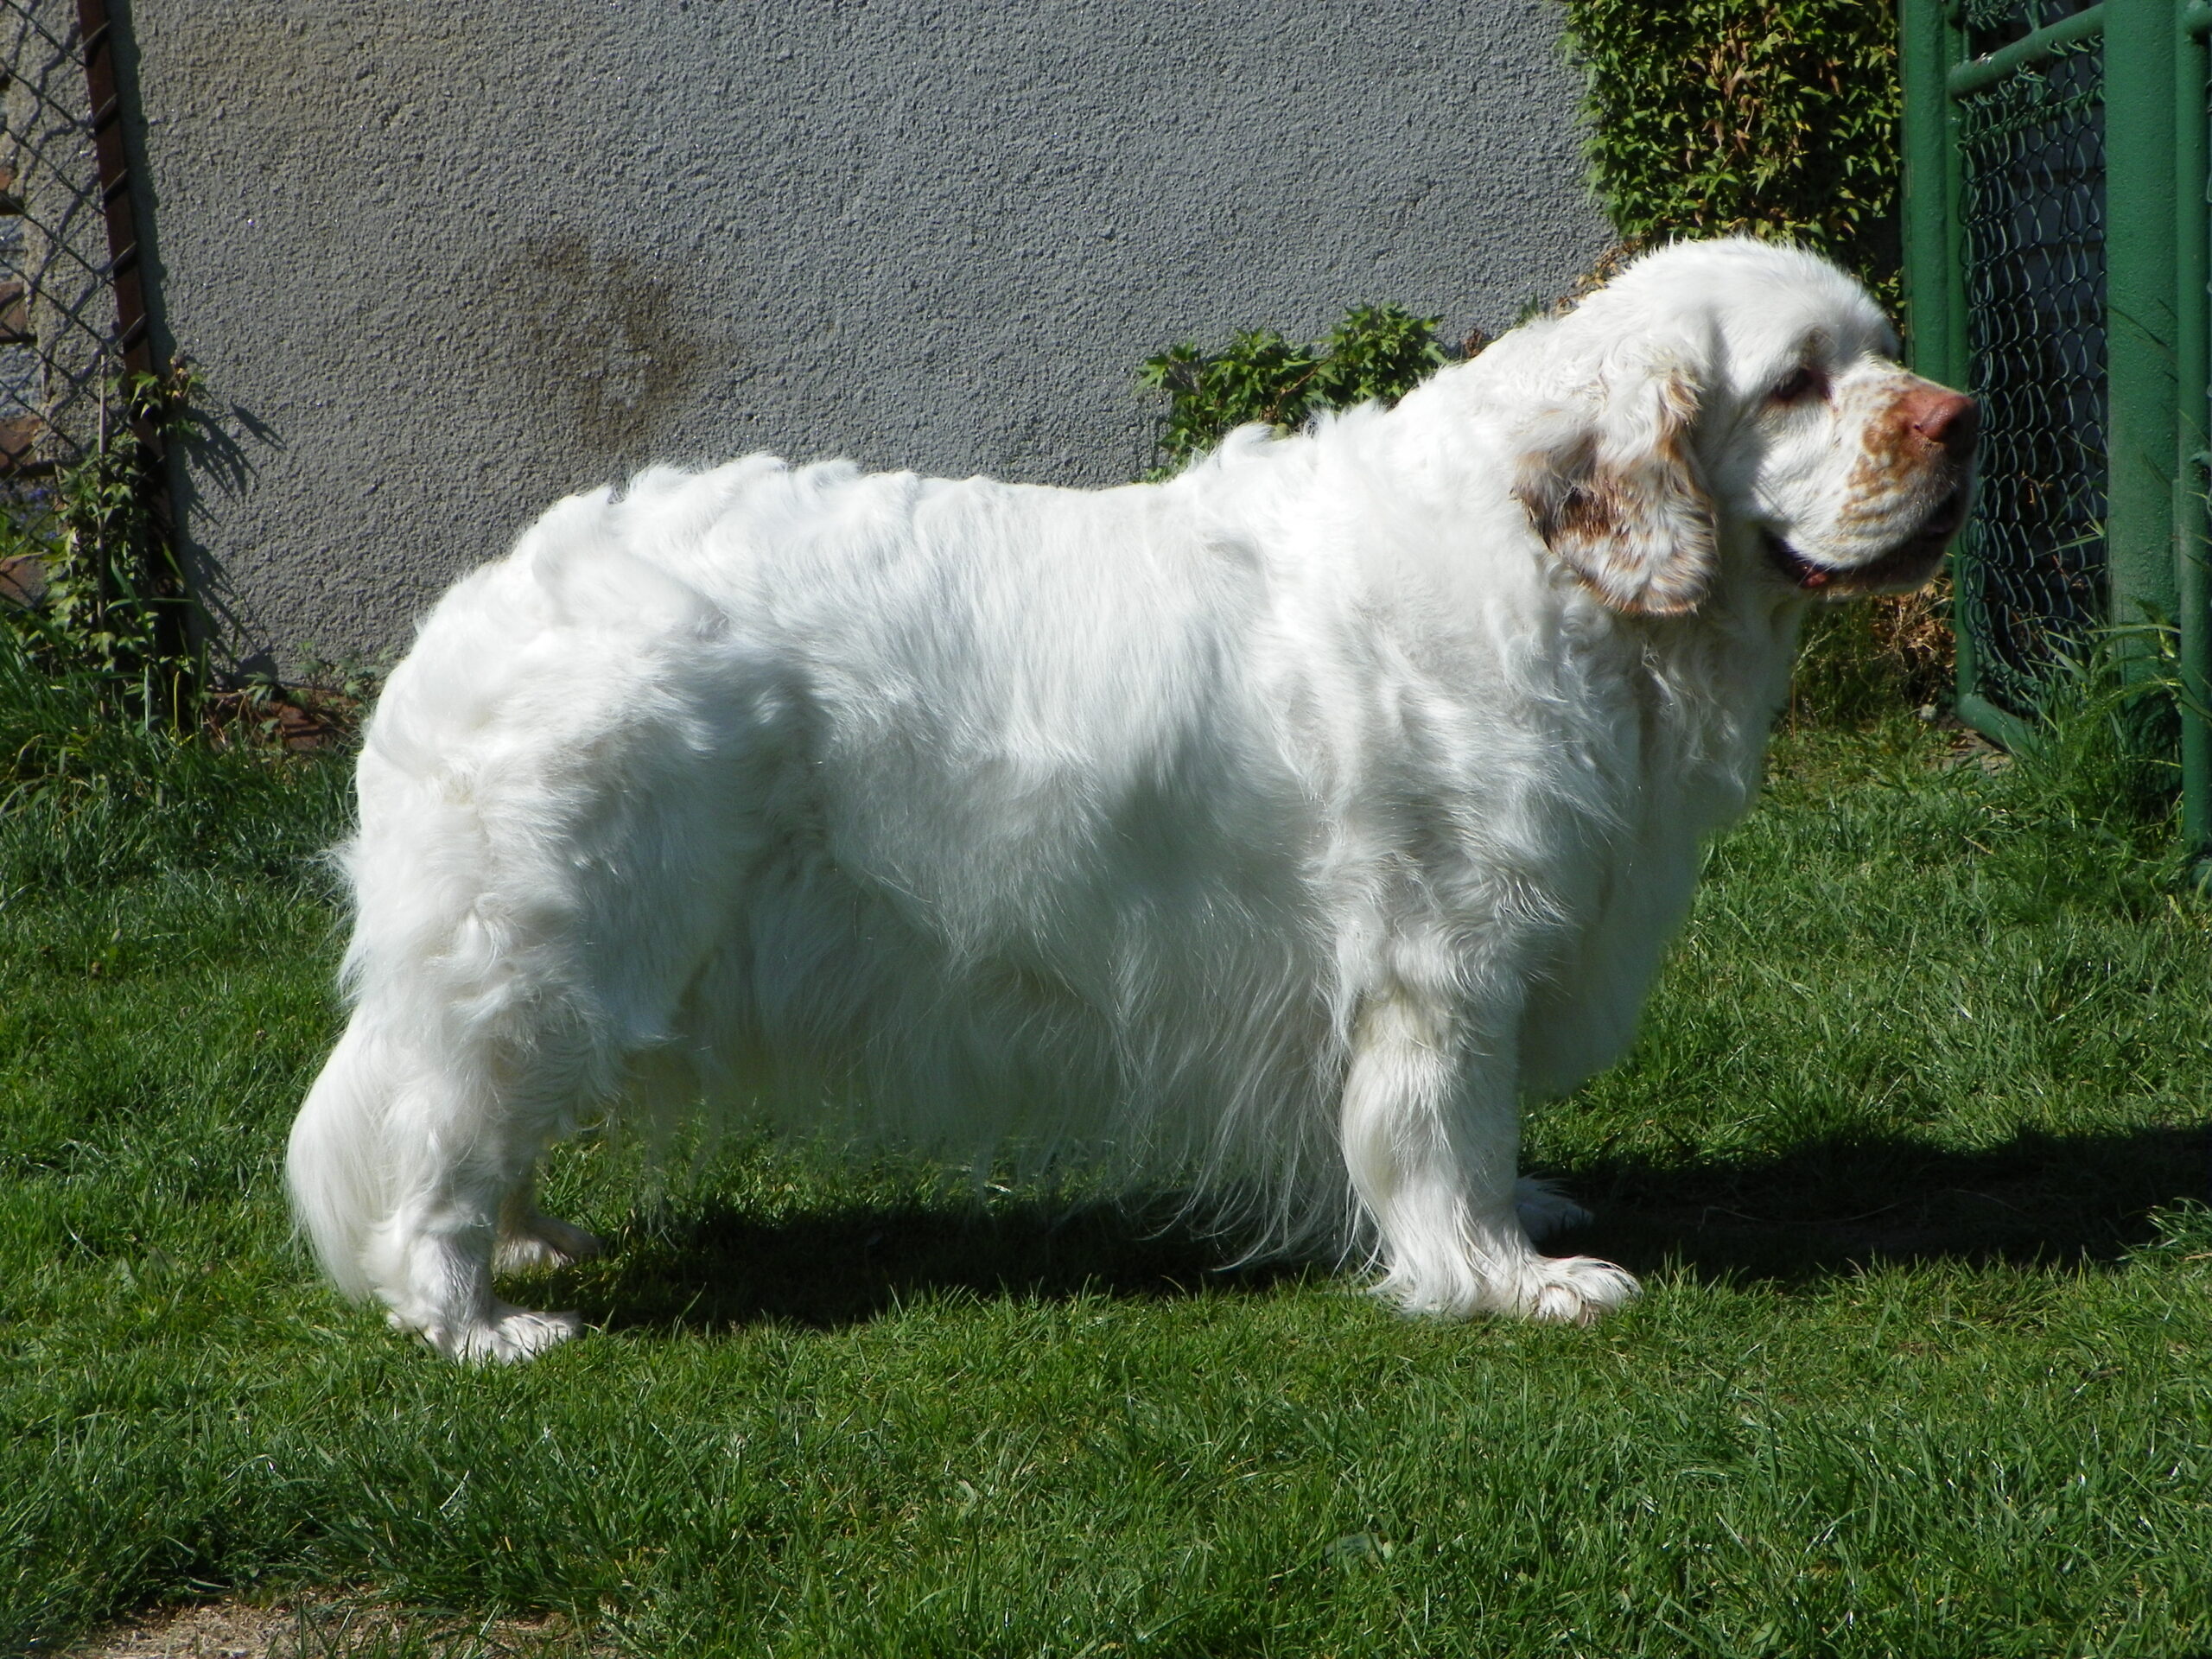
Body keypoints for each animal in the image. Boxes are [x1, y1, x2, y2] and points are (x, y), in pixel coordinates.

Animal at [288, 238, 1976, 1361]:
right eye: (1798, 383)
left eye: (1884, 347)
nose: (1959, 419)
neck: (1561, 579)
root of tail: (476, 613)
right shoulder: (1442, 959)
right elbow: (1443, 1135)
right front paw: (1507, 1281)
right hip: (552, 952)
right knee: (438, 1139)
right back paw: (477, 1321)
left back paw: (535, 1247)